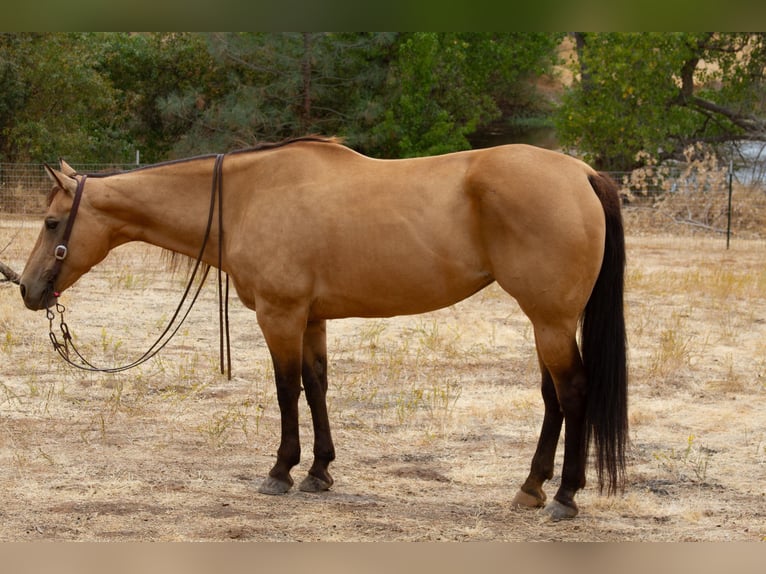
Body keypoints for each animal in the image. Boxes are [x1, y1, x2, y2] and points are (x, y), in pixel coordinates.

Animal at [19, 136, 627, 520]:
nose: (26, 288)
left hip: (550, 320)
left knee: (573, 393)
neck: (248, 197)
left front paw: (281, 470)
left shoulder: (280, 314)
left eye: (51, 222)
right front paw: (319, 471)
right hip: (545, 321)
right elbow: (316, 387)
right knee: (552, 398)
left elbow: (286, 390)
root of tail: (581, 173)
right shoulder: (311, 319)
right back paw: (531, 488)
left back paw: (564, 497)